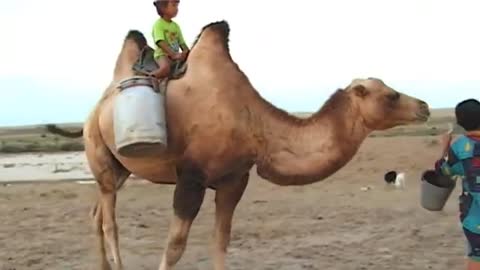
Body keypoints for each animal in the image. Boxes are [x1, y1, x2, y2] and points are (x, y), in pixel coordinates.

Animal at [47, 21, 432, 270]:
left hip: (120, 168)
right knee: (109, 221)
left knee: (97, 213)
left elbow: (221, 242)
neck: (252, 122)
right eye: (391, 94)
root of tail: (95, 109)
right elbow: (175, 246)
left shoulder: (235, 180)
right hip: (99, 151)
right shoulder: (191, 178)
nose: (425, 106)